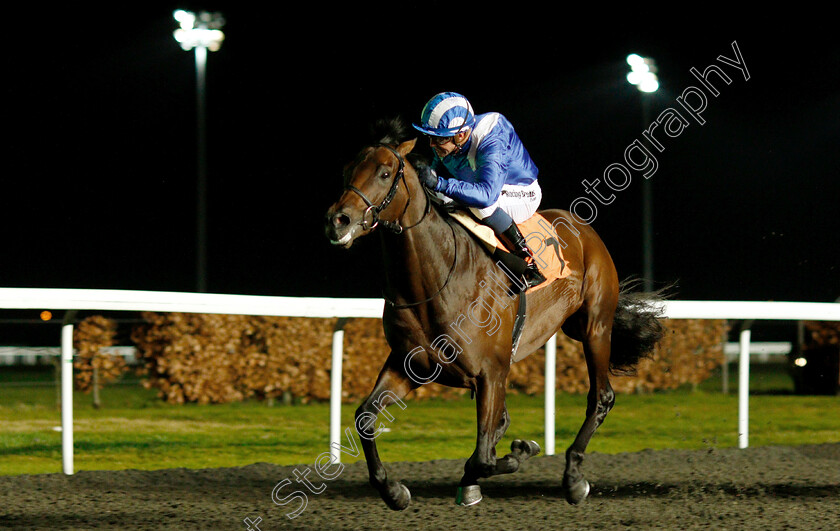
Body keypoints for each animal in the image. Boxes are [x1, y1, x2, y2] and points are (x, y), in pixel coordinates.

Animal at [324, 119, 668, 512]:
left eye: (384, 173)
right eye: (347, 170)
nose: (338, 220)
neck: (435, 280)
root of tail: (581, 226)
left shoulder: (491, 372)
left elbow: (485, 457)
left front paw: (520, 452)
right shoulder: (409, 364)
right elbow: (365, 418)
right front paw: (394, 491)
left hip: (596, 326)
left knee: (600, 398)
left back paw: (573, 478)